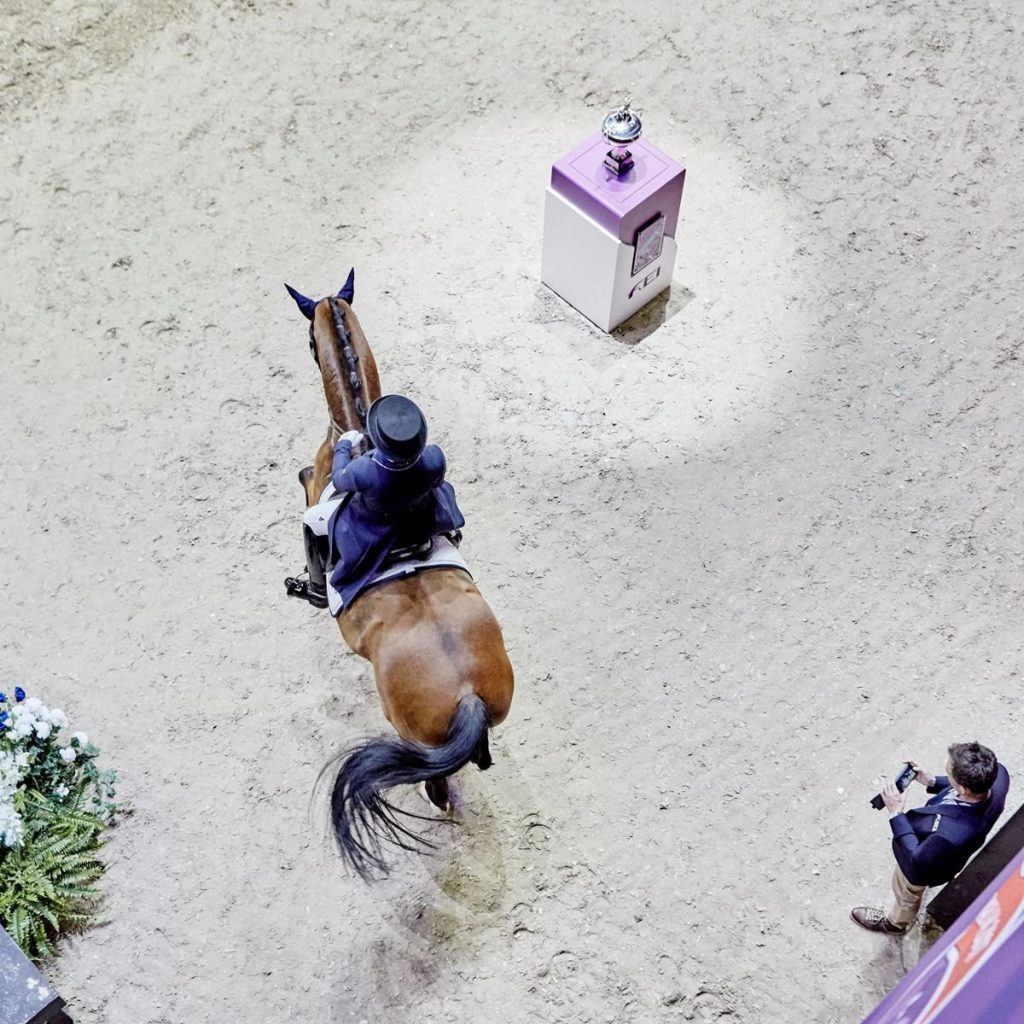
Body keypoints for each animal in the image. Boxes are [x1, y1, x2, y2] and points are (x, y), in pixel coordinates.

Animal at [285, 269, 515, 880]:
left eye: (311, 341)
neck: (359, 430)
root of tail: (467, 695)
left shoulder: (315, 489)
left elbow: (304, 480)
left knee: (437, 784)